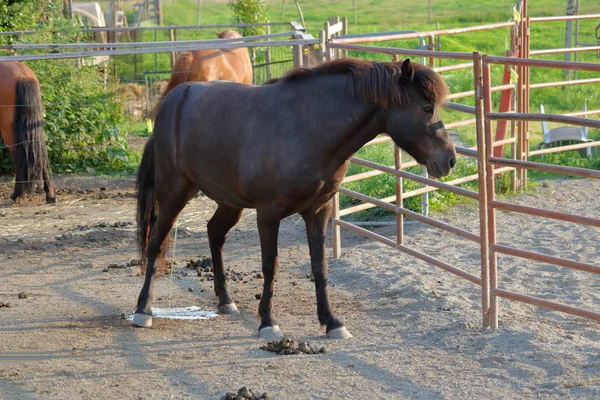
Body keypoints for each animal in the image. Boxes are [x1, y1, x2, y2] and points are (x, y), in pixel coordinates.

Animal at [0, 63, 55, 206]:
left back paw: (18, 195)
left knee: (19, 153)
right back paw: (50, 195)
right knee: (41, 152)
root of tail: (23, 75)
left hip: (9, 129)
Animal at [135, 57, 454, 340]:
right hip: (174, 193)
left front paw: (331, 322)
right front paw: (267, 322)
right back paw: (143, 310)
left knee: (214, 233)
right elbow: (270, 265)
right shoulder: (268, 213)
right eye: (426, 107)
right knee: (155, 243)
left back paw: (225, 301)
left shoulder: (318, 211)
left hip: (229, 202)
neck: (306, 127)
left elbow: (320, 265)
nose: (449, 160)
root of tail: (173, 101)